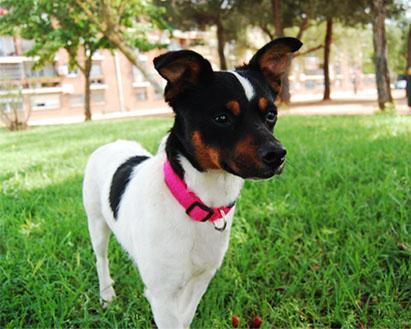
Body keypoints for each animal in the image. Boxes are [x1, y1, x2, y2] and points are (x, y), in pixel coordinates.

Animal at [83, 37, 302, 326]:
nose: (278, 154)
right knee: (101, 258)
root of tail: (111, 144)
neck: (195, 200)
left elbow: (185, 317)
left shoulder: (201, 278)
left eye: (271, 115)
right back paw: (107, 295)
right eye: (221, 117)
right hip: (96, 223)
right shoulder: (162, 295)